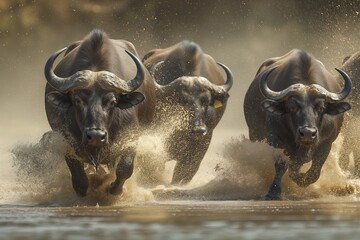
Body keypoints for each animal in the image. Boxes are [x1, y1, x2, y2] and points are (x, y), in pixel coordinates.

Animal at [43, 29, 155, 196]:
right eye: (77, 100)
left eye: (112, 102)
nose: (95, 136)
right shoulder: (65, 139)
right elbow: (78, 176)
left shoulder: (132, 137)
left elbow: (125, 168)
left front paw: (113, 189)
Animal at [245, 48, 352, 199]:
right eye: (292, 107)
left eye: (321, 108)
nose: (307, 133)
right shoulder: (275, 138)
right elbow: (282, 164)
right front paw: (274, 192)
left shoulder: (327, 142)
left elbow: (314, 171)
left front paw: (302, 180)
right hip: (254, 134)